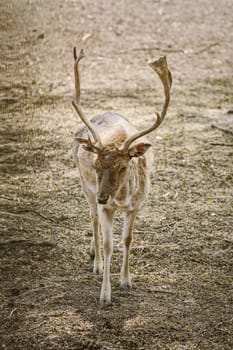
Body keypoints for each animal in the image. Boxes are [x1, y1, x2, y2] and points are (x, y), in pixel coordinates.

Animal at [72, 47, 172, 304]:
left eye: (124, 167)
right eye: (96, 164)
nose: (103, 197)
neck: (121, 198)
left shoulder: (137, 205)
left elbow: (128, 239)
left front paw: (126, 281)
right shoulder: (104, 204)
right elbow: (109, 245)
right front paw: (105, 294)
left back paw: (92, 251)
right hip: (85, 188)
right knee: (93, 219)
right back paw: (96, 262)